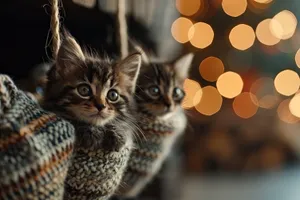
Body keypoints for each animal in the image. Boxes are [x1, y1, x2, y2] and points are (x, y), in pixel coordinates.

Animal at [42, 33, 142, 199]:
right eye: (84, 90)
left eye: (113, 95)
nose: (100, 106)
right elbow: (75, 122)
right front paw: (90, 133)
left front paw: (118, 134)